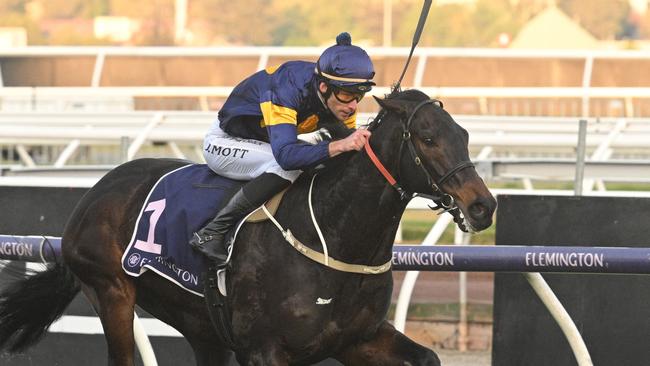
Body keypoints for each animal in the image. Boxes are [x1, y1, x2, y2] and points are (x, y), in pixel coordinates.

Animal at [0, 89, 494, 366]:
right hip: (112, 293)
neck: (333, 238)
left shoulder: (357, 339)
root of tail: (94, 192)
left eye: (464, 135)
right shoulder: (266, 349)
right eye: (427, 139)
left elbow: (427, 357)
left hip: (199, 323)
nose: (483, 205)